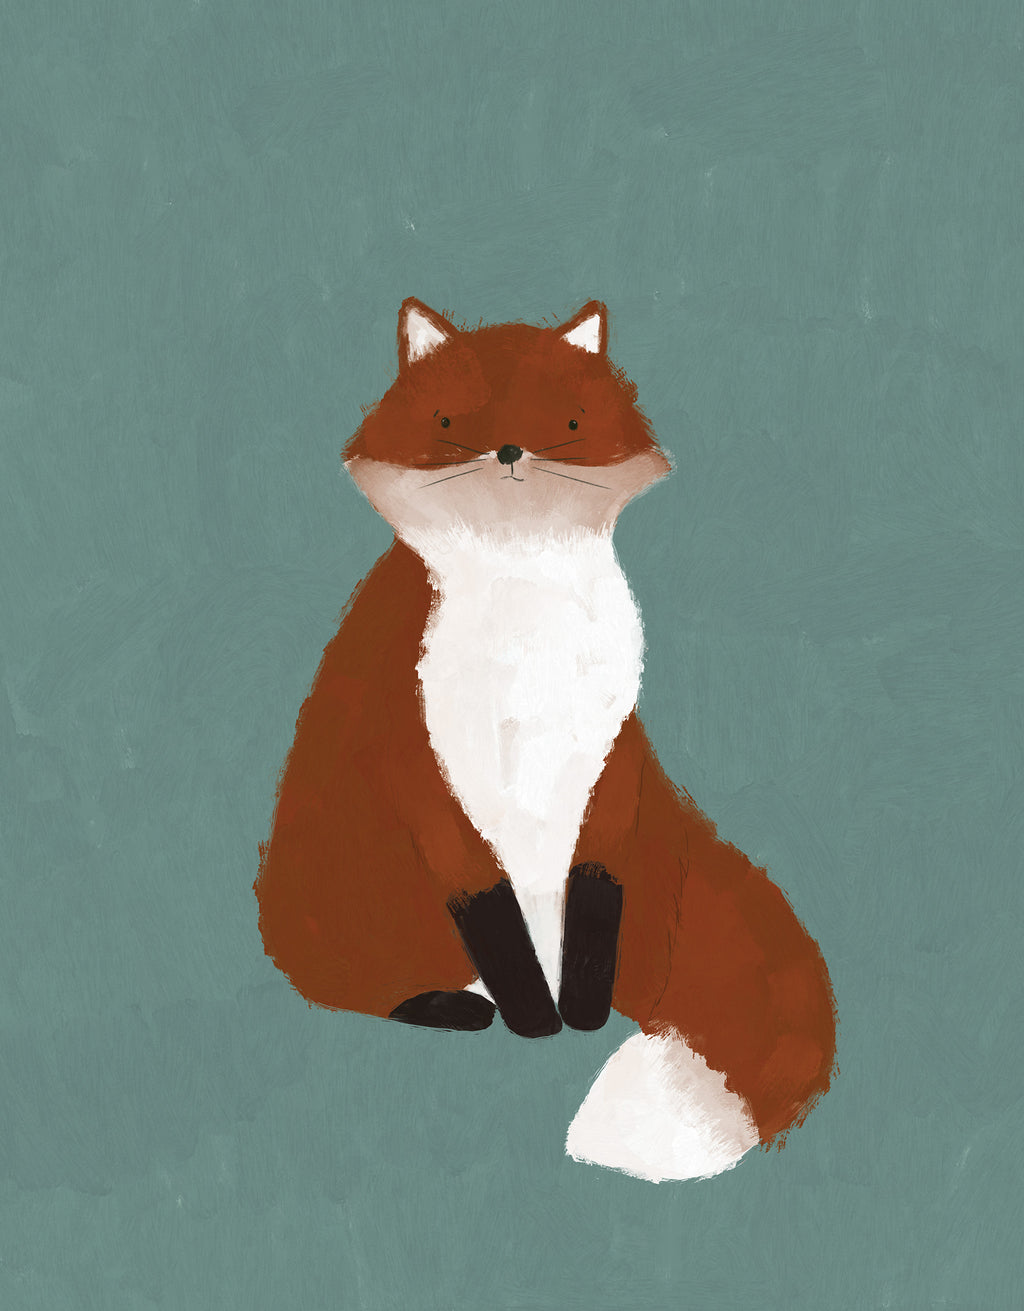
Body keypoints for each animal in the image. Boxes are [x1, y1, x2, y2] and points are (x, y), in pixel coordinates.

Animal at [255, 298, 837, 1181]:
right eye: (450, 420)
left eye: (566, 421)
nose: (508, 451)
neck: (525, 615)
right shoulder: (417, 761)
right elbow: (490, 910)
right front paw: (537, 1017)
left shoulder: (612, 757)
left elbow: (595, 895)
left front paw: (580, 1014)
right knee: (358, 982)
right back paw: (455, 1005)